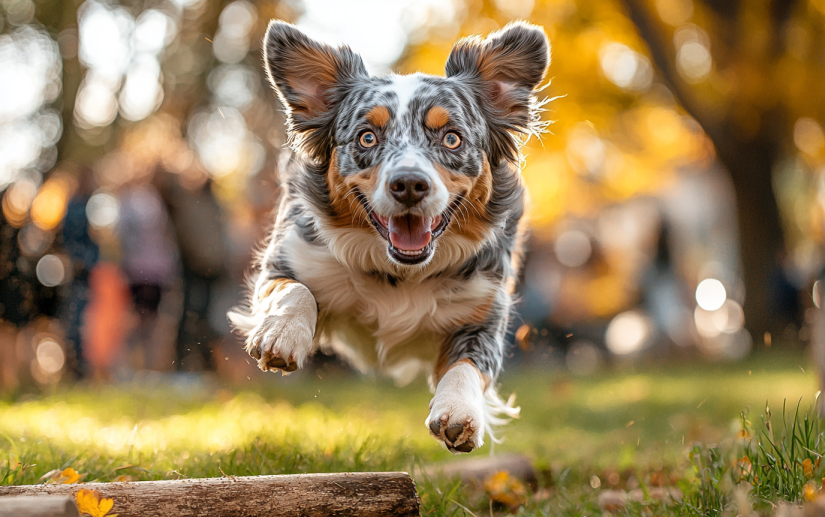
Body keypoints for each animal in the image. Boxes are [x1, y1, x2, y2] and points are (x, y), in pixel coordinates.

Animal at [230, 20, 552, 454]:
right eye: (367, 137)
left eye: (452, 138)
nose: (410, 184)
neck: (400, 273)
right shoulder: (285, 259)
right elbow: (295, 291)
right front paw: (282, 335)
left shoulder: (486, 310)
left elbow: (470, 362)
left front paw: (459, 411)